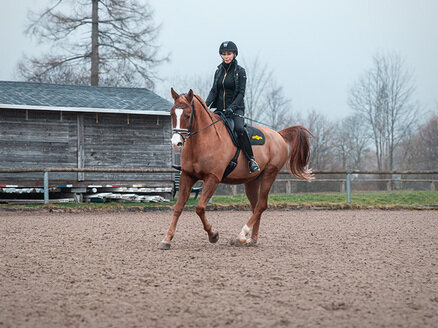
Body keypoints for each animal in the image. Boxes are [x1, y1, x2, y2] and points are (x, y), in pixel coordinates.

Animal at [159, 88, 314, 250]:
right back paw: (251, 239)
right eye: (172, 114)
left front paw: (213, 235)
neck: (203, 141)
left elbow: (200, 208)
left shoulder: (213, 178)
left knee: (261, 205)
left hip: (269, 174)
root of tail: (278, 135)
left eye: (188, 115)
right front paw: (167, 239)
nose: (176, 143)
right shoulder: (187, 176)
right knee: (256, 206)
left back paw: (241, 236)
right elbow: (178, 207)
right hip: (252, 181)